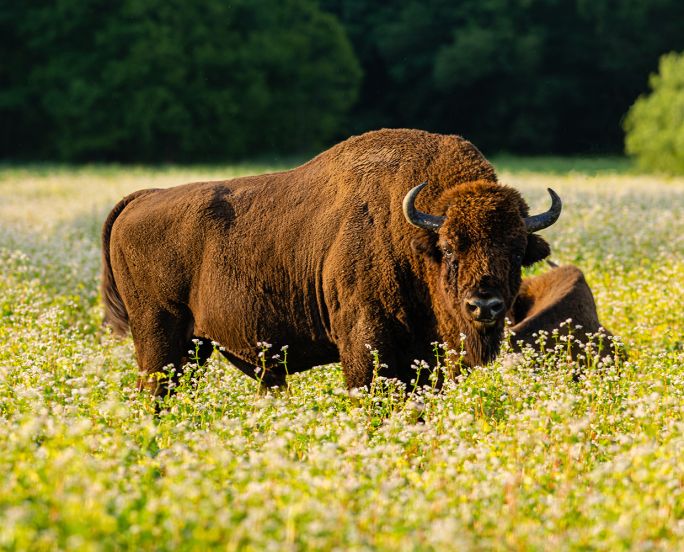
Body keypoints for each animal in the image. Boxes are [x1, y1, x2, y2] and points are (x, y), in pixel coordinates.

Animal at [101, 129, 560, 394]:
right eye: (448, 248)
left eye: (517, 251)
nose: (484, 306)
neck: (412, 235)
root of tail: (142, 198)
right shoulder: (364, 343)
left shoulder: (423, 357)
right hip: (160, 339)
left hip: (195, 348)